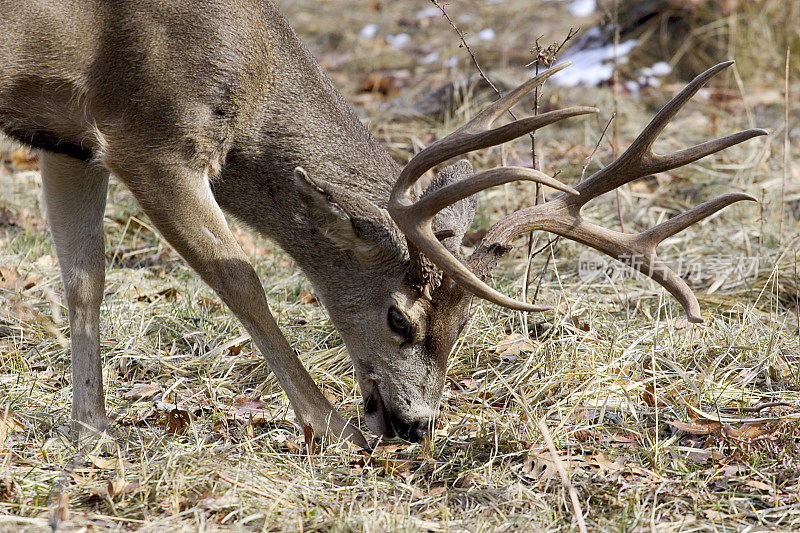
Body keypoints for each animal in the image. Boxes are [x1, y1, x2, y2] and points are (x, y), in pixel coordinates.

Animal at [0, 1, 764, 448]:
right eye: (400, 318)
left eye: (465, 323)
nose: (417, 426)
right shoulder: (150, 133)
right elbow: (240, 276)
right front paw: (330, 423)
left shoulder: (70, 136)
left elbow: (84, 278)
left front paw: (90, 430)